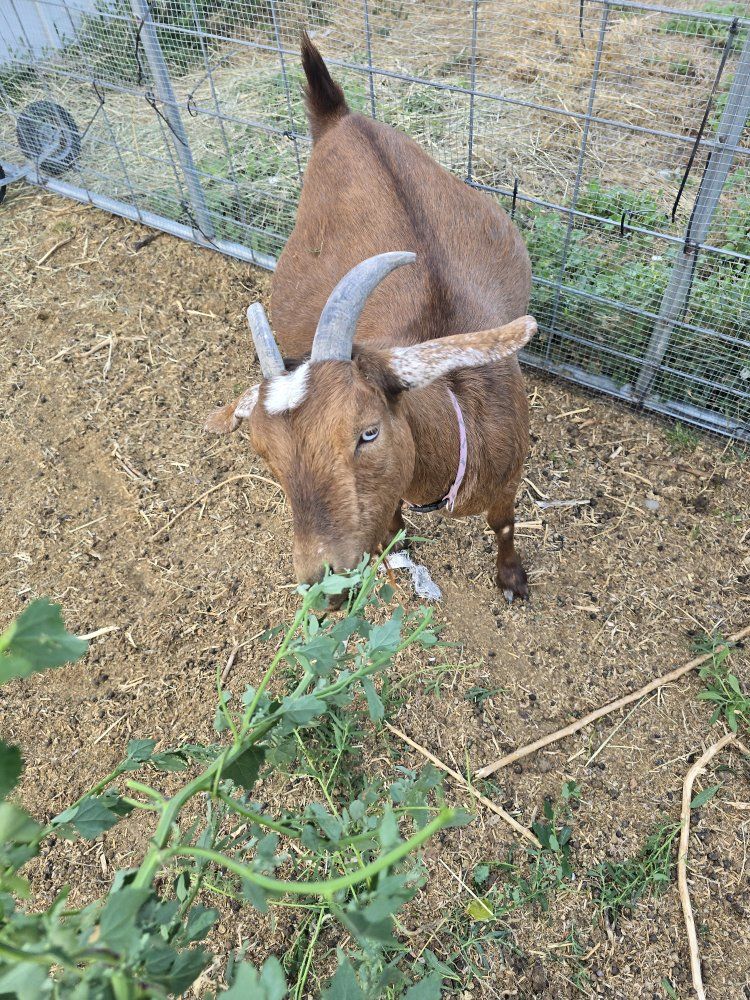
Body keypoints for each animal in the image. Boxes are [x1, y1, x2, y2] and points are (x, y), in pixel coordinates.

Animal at [207, 34, 537, 599]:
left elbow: (504, 523)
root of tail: (339, 118)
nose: (323, 584)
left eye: (367, 432)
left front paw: (512, 578)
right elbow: (390, 525)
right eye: (263, 452)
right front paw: (396, 555)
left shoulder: (510, 475)